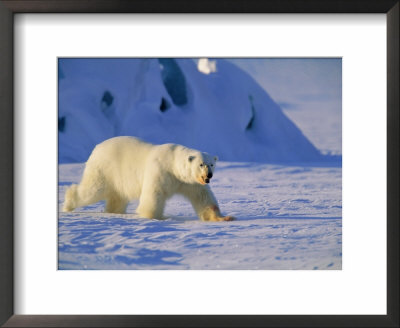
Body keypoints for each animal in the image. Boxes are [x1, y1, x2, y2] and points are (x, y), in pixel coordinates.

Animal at [62, 136, 234, 223]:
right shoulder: (160, 171)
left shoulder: (189, 182)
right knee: (93, 189)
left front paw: (224, 217)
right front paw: (155, 216)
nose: (209, 175)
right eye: (201, 164)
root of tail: (96, 148)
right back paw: (68, 204)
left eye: (212, 164)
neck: (172, 163)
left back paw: (115, 211)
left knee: (117, 196)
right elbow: (154, 194)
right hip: (105, 169)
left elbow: (203, 197)